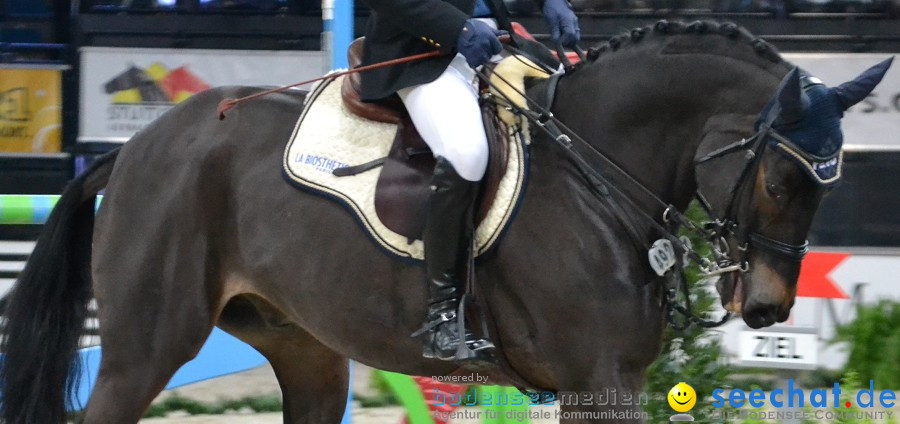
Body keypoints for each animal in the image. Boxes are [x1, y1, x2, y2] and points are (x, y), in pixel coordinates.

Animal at [0, 20, 888, 424]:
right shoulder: (598, 379)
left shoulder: (611, 379)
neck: (597, 167)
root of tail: (136, 149)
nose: (767, 308)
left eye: (828, 185)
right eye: (780, 178)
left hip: (306, 349)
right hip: (148, 344)